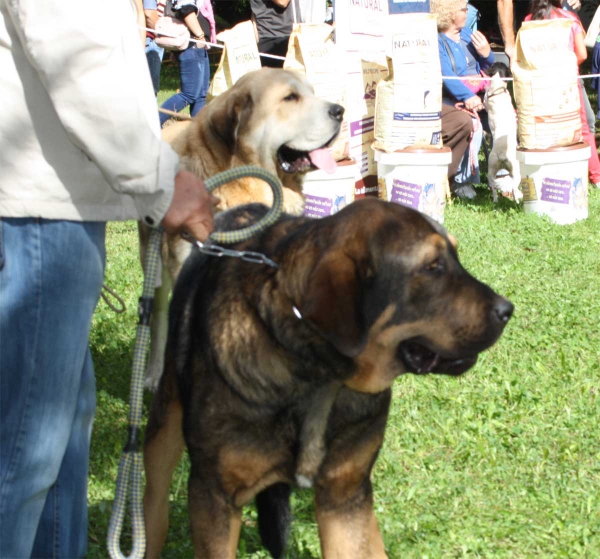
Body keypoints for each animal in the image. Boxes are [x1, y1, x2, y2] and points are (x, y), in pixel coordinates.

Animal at [143, 199, 512, 556]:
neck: (319, 374)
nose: (507, 310)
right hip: (163, 431)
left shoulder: (344, 496)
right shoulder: (214, 496)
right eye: (432, 267)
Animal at [480, 63, 524, 203]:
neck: (498, 90)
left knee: (494, 187)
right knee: (513, 188)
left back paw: (496, 201)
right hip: (514, 171)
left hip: (492, 170)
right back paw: (516, 201)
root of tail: (502, 154)